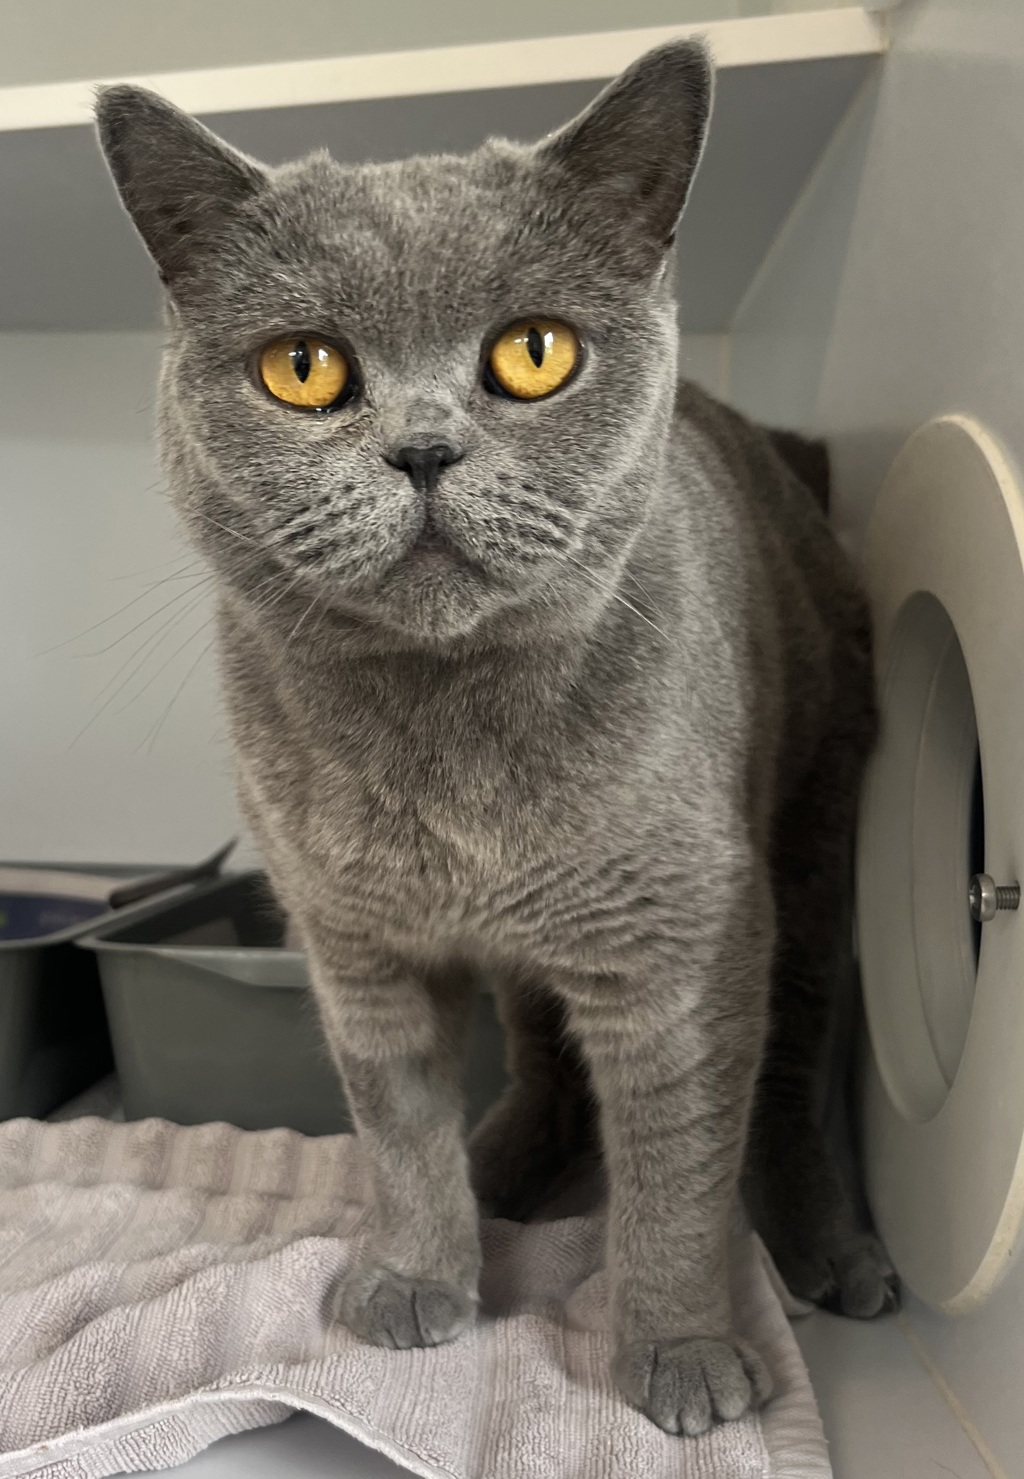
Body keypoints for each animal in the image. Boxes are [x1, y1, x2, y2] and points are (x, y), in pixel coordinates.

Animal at [95, 39, 896, 1438]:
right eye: (304, 367)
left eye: (534, 353)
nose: (422, 450)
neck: (447, 740)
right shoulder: (359, 949)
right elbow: (397, 1128)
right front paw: (417, 1272)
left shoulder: (684, 940)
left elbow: (679, 1167)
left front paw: (681, 1352)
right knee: (547, 1069)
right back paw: (502, 1170)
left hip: (809, 836)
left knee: (789, 1075)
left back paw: (826, 1251)